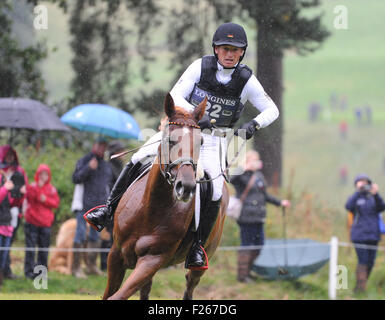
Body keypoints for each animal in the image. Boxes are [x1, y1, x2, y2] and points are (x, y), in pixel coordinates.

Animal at [102, 92, 228, 300]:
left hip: (201, 261)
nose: (186, 186)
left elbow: (118, 296)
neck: (150, 208)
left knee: (190, 284)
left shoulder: (152, 260)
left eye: (200, 142)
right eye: (169, 139)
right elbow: (110, 294)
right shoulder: (116, 254)